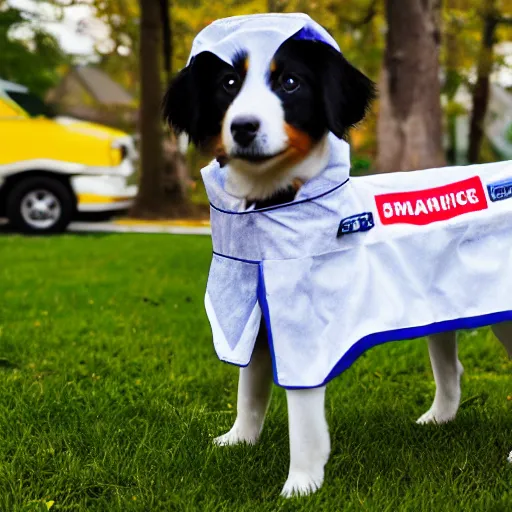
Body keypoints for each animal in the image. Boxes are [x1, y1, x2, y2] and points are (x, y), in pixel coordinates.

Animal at [162, 33, 512, 496]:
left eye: (291, 82)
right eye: (228, 83)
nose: (243, 127)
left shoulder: (304, 333)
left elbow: (304, 421)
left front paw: (300, 486)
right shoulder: (256, 316)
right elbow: (249, 392)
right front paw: (238, 441)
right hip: (439, 304)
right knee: (450, 368)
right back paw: (437, 419)